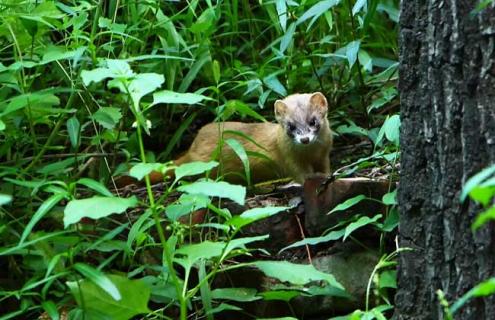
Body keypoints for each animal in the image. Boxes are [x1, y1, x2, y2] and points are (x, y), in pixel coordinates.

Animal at [160, 91, 334, 184]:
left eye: (313, 121)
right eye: (290, 126)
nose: (304, 139)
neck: (311, 153)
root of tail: (192, 147)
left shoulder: (324, 155)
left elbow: (325, 168)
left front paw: (326, 176)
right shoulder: (289, 158)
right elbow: (300, 175)